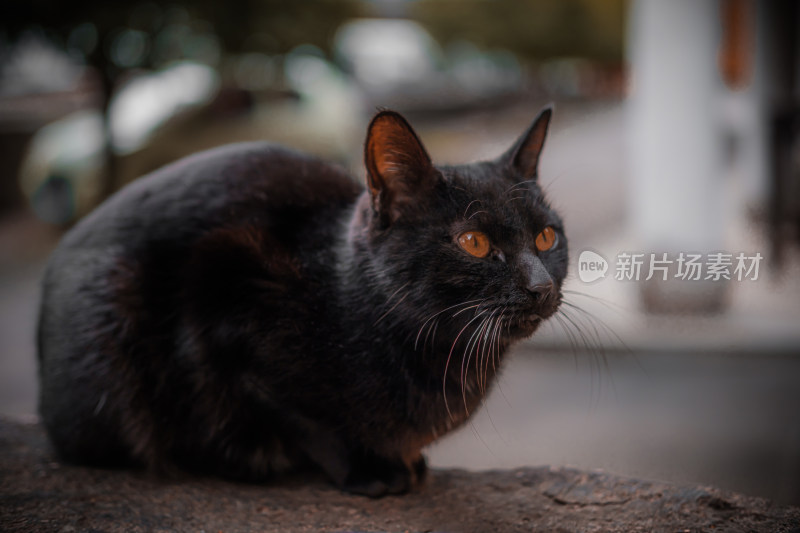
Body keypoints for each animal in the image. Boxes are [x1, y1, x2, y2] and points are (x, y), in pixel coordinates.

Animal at [37, 106, 564, 496]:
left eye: (545, 237)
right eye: (473, 242)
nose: (541, 286)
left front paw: (407, 460)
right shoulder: (224, 292)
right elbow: (305, 419)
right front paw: (371, 469)